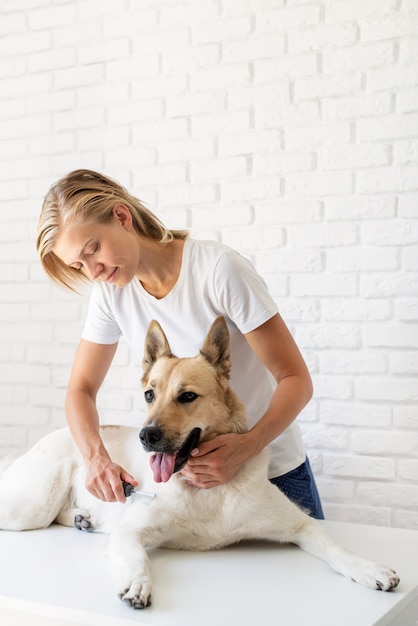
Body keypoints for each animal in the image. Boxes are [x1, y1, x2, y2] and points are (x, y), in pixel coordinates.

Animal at [0, 314, 398, 608]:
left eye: (187, 396)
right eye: (149, 395)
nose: (146, 436)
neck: (208, 492)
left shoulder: (300, 523)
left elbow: (336, 547)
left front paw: (370, 569)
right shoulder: (131, 531)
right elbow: (138, 558)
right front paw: (138, 584)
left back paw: (84, 518)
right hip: (31, 508)